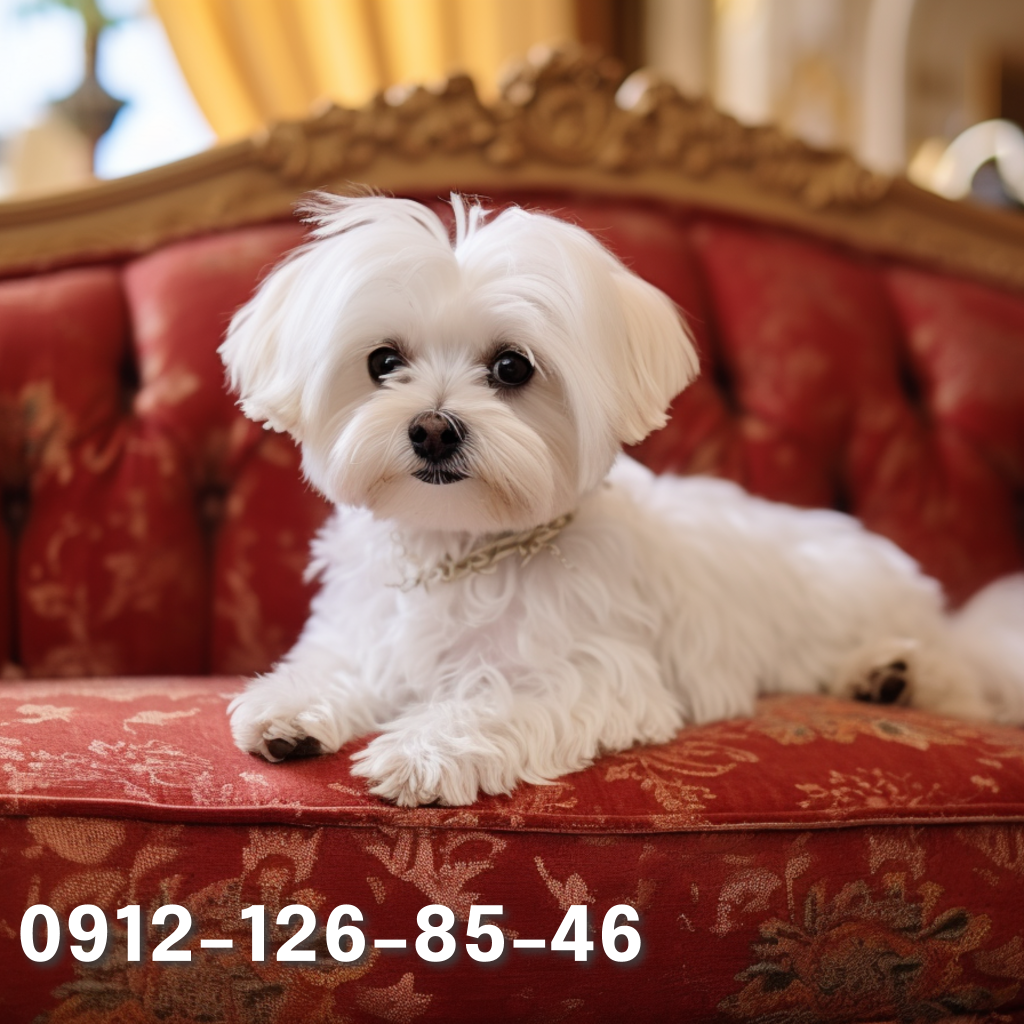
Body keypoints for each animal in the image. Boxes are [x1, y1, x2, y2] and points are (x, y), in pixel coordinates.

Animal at [220, 190, 1024, 798]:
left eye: (512, 367)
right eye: (383, 362)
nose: (432, 430)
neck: (459, 548)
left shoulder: (594, 672)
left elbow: (497, 698)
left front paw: (425, 750)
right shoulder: (366, 631)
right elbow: (338, 664)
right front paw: (290, 708)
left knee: (963, 683)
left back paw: (896, 675)